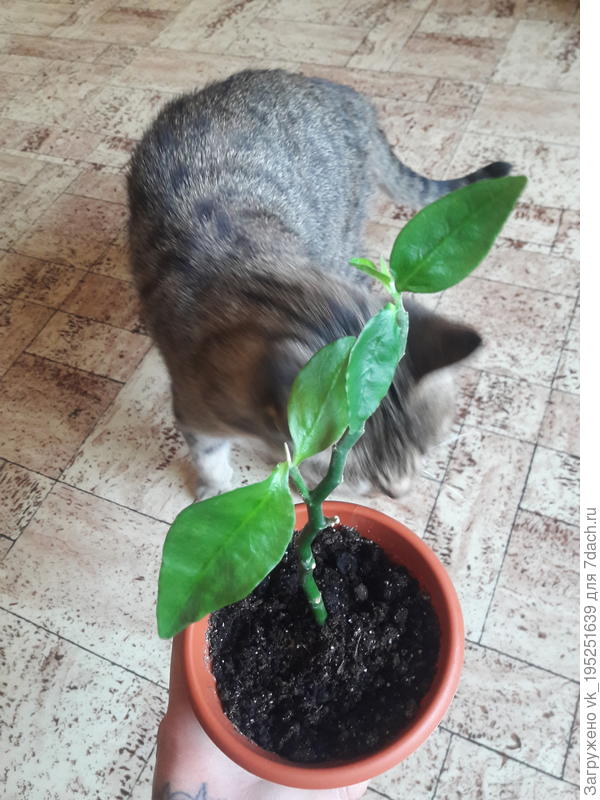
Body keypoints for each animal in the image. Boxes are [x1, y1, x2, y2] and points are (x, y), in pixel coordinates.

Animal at [127, 69, 509, 499]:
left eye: (426, 449)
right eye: (367, 479)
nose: (400, 493)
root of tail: (344, 93)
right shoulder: (192, 408)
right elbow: (208, 455)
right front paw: (216, 488)